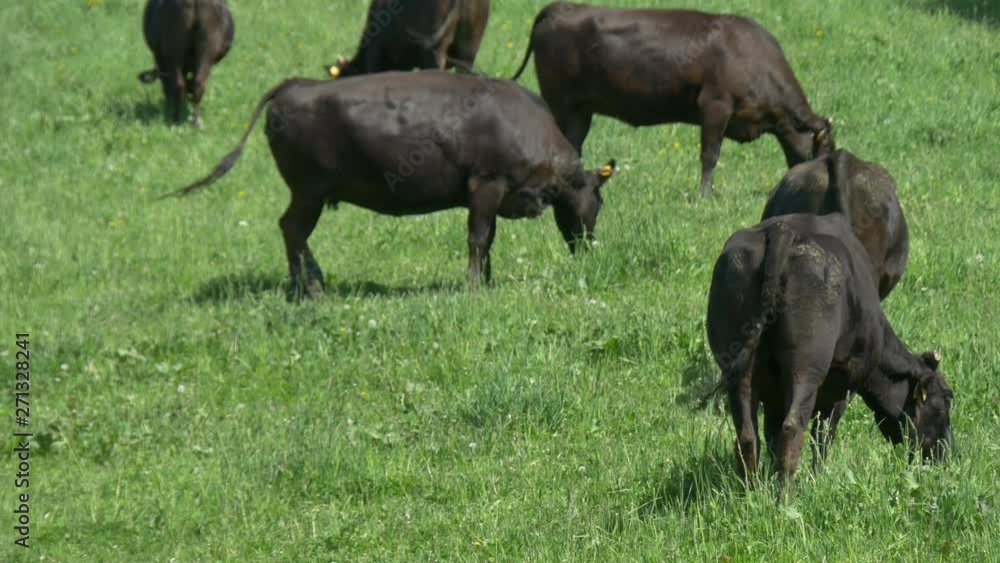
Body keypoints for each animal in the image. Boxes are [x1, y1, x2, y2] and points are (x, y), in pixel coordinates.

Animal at [165, 72, 616, 298]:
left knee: (291, 230)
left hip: (308, 193)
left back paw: (311, 281)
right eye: (599, 201)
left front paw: (487, 282)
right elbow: (478, 237)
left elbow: (488, 240)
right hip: (309, 191)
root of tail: (297, 84)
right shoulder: (486, 184)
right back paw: (306, 289)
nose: (589, 249)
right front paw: (475, 288)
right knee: (292, 229)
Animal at [512, 3, 832, 197]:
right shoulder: (715, 105)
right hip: (561, 102)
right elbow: (710, 155)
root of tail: (560, 7)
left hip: (580, 110)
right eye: (827, 146)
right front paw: (705, 196)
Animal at [704, 214, 952, 500]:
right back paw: (784, 499)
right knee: (793, 429)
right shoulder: (840, 390)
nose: (948, 456)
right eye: (945, 404)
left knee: (747, 435)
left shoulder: (774, 398)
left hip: (738, 371)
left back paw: (750, 495)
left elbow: (772, 436)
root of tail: (781, 230)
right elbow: (823, 436)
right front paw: (816, 479)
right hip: (806, 370)